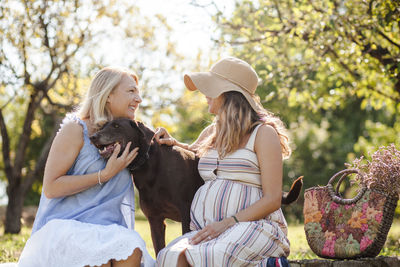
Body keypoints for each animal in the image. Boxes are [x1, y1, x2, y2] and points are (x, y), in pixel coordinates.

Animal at [90, 119, 304, 255]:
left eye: (116, 125)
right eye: (103, 125)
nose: (92, 136)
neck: (148, 163)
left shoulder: (186, 213)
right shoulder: (155, 220)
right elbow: (159, 249)